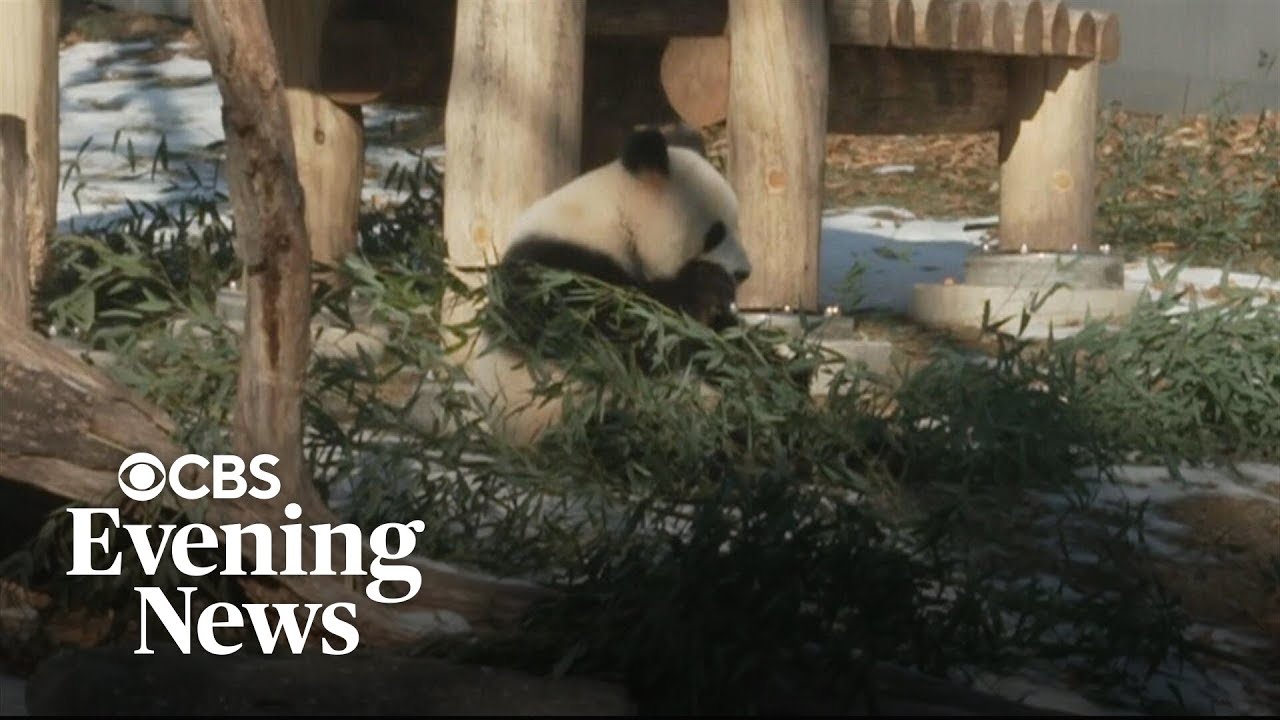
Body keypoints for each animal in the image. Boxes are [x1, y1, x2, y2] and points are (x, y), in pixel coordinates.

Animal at [467, 127, 753, 446]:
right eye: (715, 233)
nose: (743, 272)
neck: (616, 216)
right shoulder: (552, 273)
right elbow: (613, 336)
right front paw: (707, 287)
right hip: (570, 420)